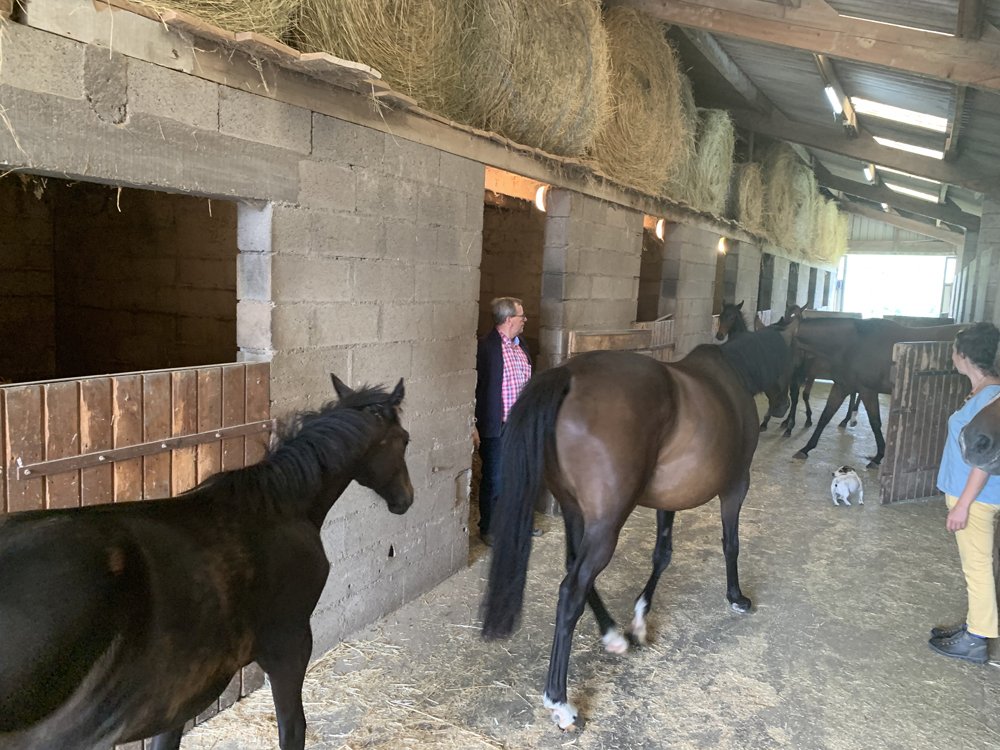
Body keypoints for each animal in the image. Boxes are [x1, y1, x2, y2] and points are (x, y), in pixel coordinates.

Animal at [0, 376, 412, 750]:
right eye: (405, 439)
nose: (405, 499)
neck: (280, 508)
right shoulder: (289, 647)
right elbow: (292, 728)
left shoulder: (177, 697)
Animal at [481, 325, 795, 730]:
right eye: (791, 357)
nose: (783, 407)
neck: (732, 375)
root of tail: (568, 375)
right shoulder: (736, 485)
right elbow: (731, 543)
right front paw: (736, 596)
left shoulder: (669, 498)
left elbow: (662, 554)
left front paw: (641, 619)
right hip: (607, 523)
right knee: (572, 590)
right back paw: (561, 702)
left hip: (575, 511)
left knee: (575, 570)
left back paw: (613, 635)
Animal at [790, 317, 964, 467]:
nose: (798, 377)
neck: (852, 345)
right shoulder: (842, 387)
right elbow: (825, 417)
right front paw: (805, 449)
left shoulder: (868, 391)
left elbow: (874, 422)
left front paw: (878, 457)